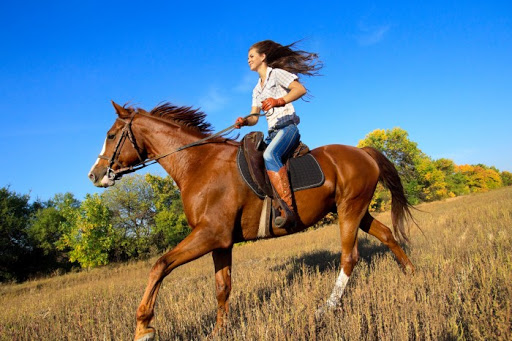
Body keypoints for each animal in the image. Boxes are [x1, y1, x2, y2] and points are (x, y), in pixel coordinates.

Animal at [88, 101, 416, 340]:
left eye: (111, 135)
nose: (94, 175)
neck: (198, 165)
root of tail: (362, 151)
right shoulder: (221, 242)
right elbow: (222, 287)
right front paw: (219, 331)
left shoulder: (210, 234)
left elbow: (160, 266)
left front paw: (143, 327)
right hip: (356, 210)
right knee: (387, 234)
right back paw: (411, 274)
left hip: (349, 211)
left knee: (350, 257)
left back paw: (326, 308)